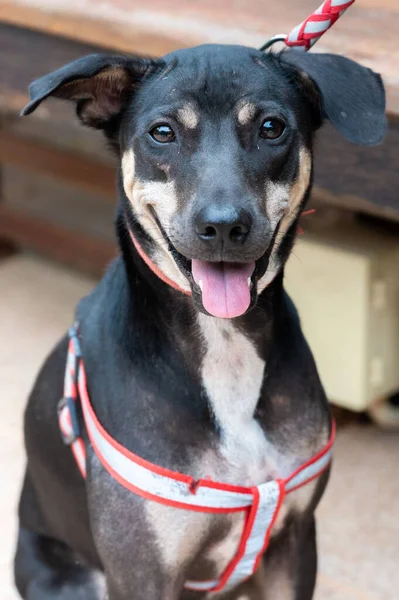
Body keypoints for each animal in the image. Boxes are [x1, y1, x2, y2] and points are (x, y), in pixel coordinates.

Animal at [14, 43, 386, 600]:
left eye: (272, 127)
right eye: (162, 132)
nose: (224, 226)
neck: (224, 347)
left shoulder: (295, 542)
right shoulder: (142, 570)